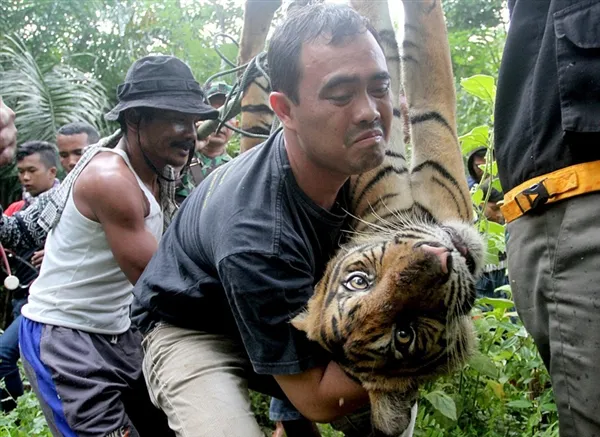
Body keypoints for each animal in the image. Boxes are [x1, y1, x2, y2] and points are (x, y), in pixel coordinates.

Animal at [237, 0, 486, 436]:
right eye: (404, 333)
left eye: (359, 280)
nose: (438, 257)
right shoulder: (436, 146)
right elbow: (424, 60)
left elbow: (389, 38)